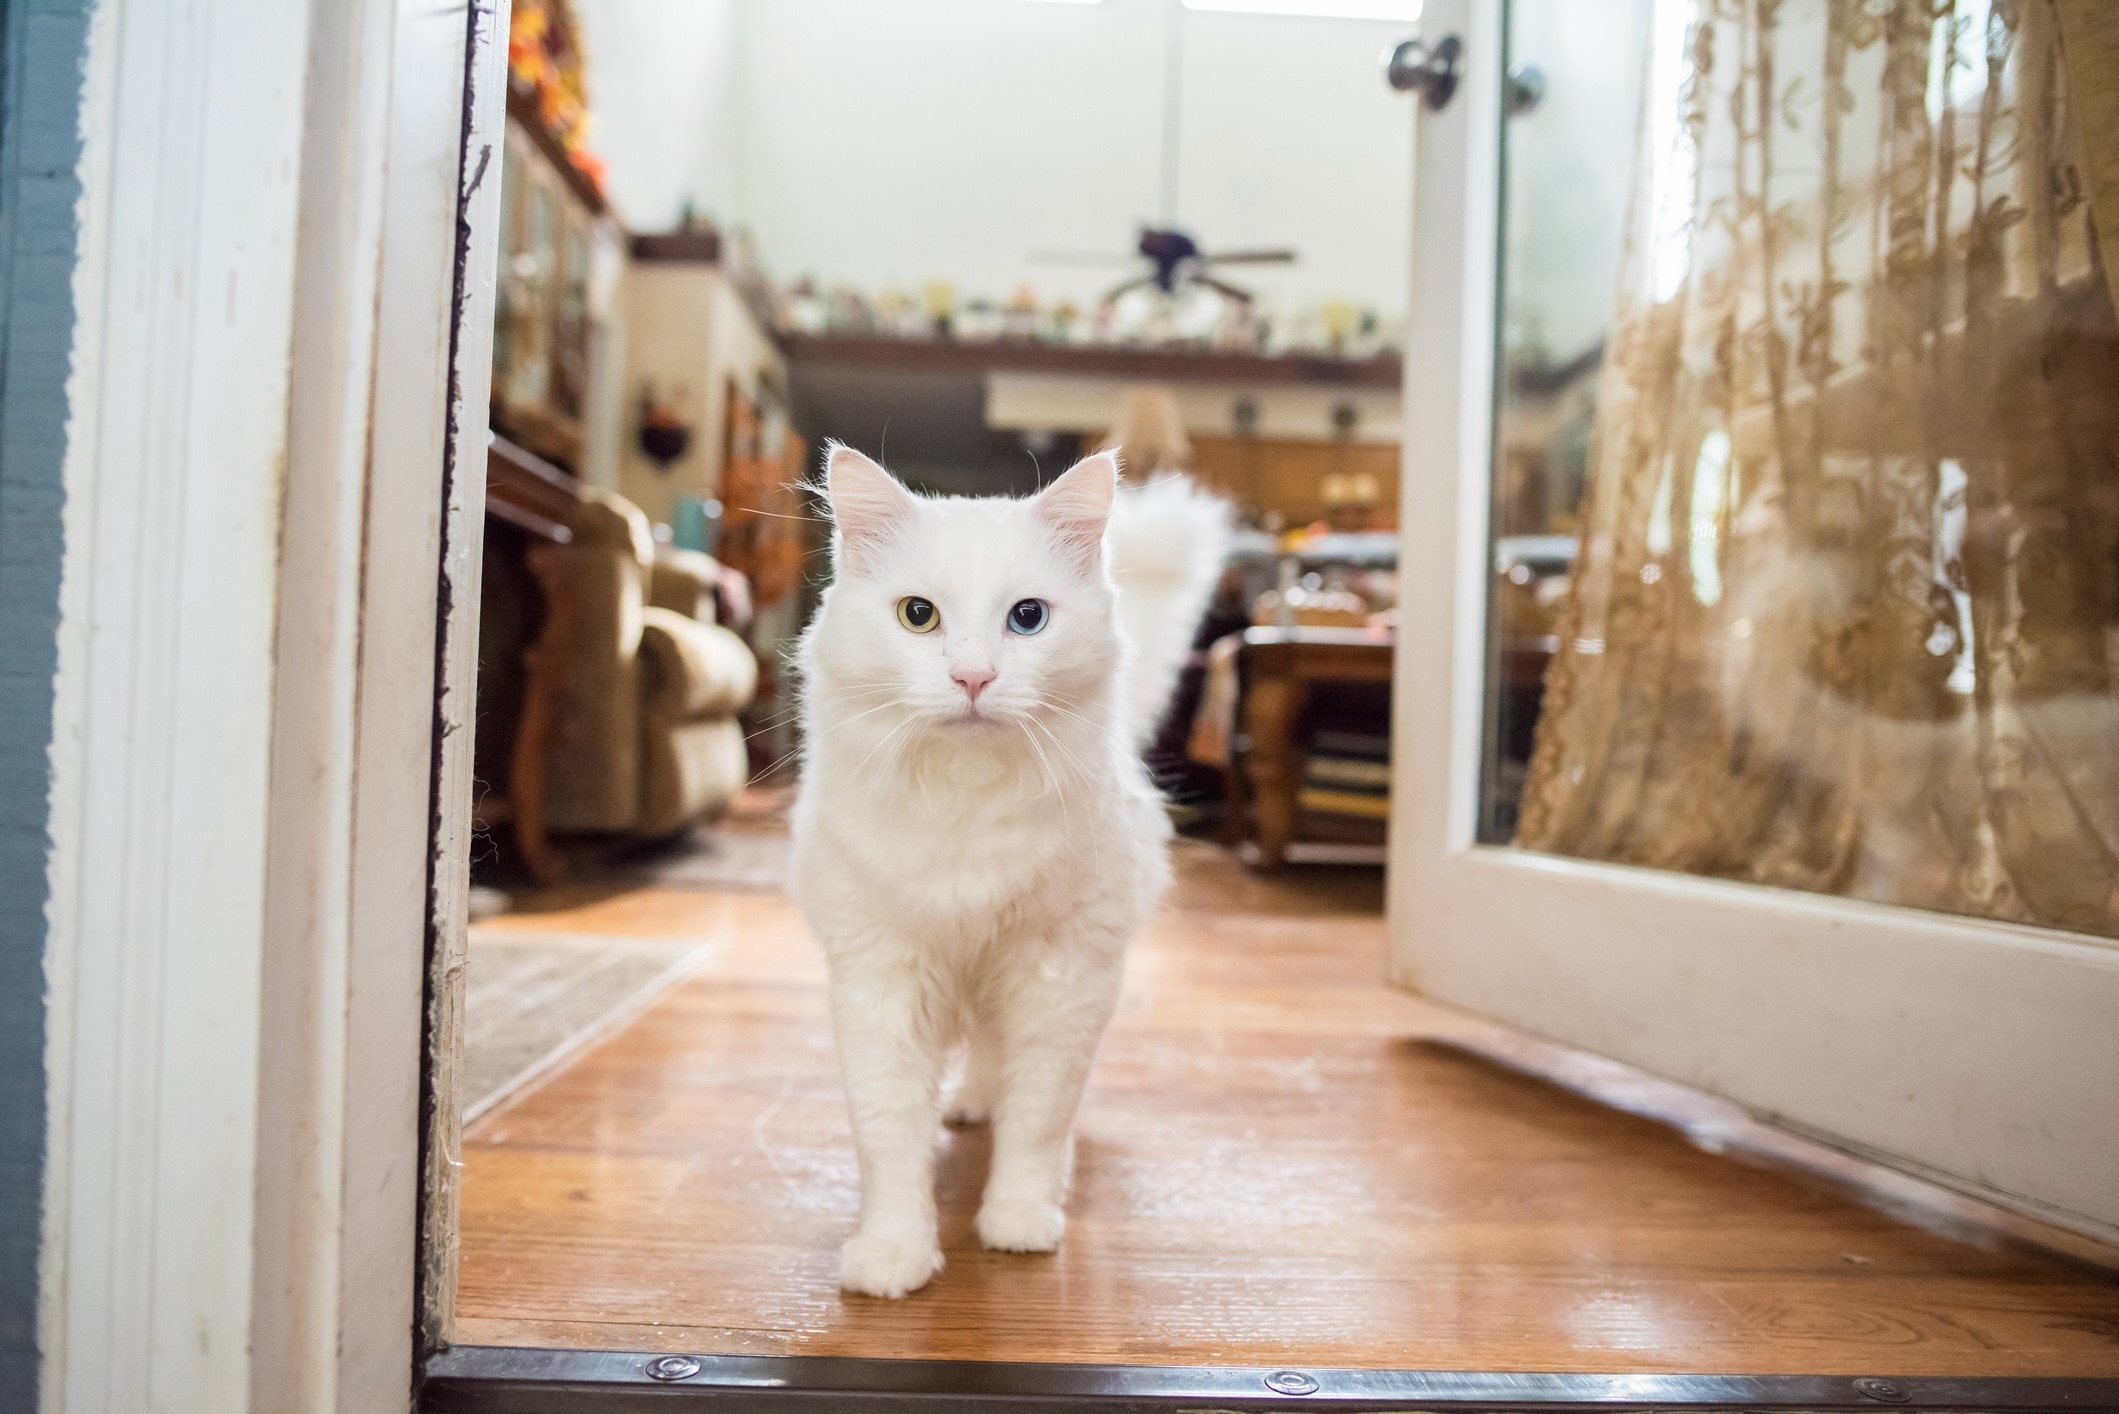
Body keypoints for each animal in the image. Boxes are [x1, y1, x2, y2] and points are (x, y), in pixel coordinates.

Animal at [792, 447, 1229, 1297]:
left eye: (1027, 618)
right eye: (918, 616)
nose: (972, 678)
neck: (967, 810)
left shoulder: (1059, 979)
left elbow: (1037, 1120)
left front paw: (1019, 1220)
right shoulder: (881, 982)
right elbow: (889, 1139)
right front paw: (893, 1256)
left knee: (1006, 1068)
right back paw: (965, 1108)